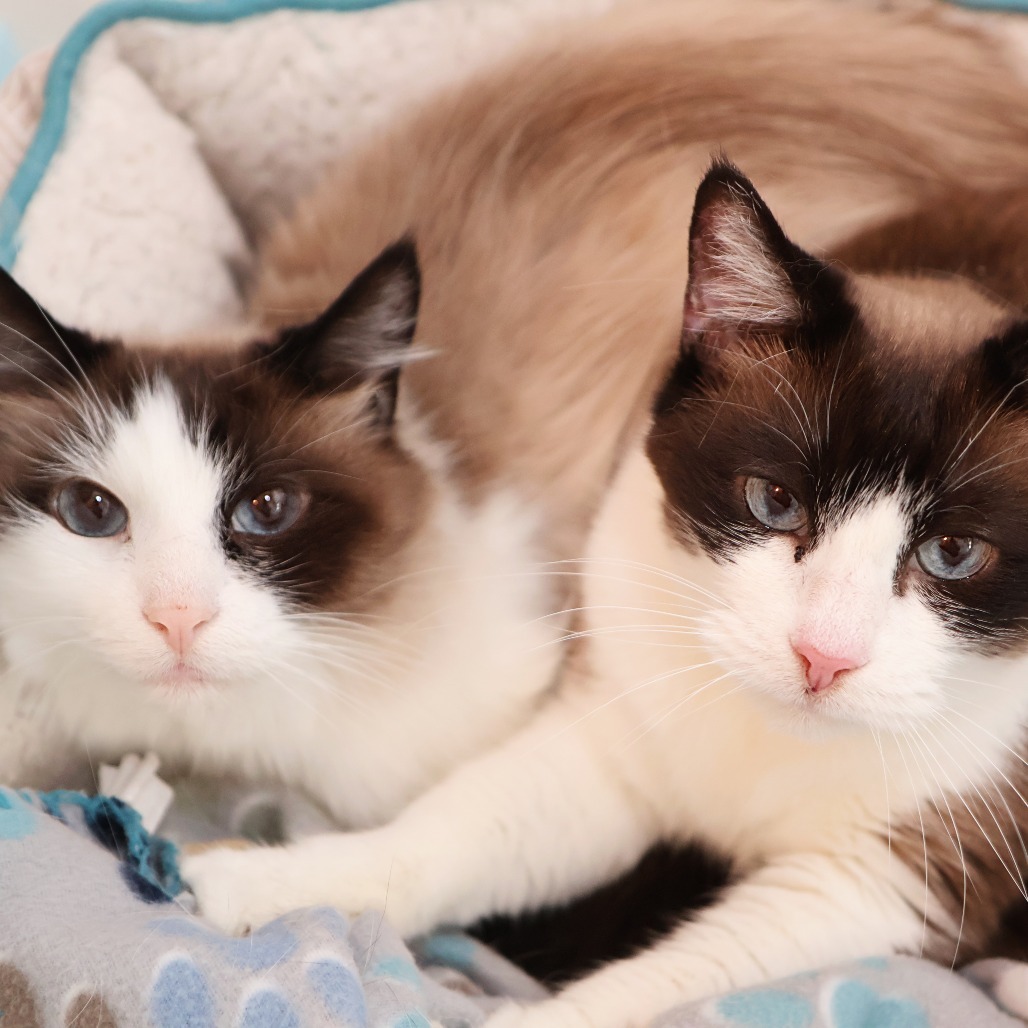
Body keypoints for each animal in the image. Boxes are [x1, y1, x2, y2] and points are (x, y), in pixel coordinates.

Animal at [185, 156, 1028, 1023]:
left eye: (954, 553)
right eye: (774, 501)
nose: (822, 657)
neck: (769, 732)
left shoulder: (896, 873)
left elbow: (688, 972)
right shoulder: (616, 723)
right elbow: (462, 828)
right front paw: (272, 879)